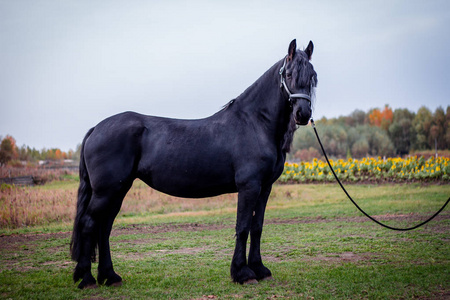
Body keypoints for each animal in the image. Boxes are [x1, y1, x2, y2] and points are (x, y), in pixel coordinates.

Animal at [70, 39, 316, 288]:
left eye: (313, 76)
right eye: (289, 73)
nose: (303, 114)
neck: (255, 123)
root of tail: (96, 129)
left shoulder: (265, 188)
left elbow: (257, 227)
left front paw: (259, 268)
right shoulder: (249, 187)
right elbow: (243, 227)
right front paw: (243, 273)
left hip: (118, 190)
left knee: (104, 228)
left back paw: (109, 276)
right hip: (106, 191)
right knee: (89, 224)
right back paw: (88, 279)